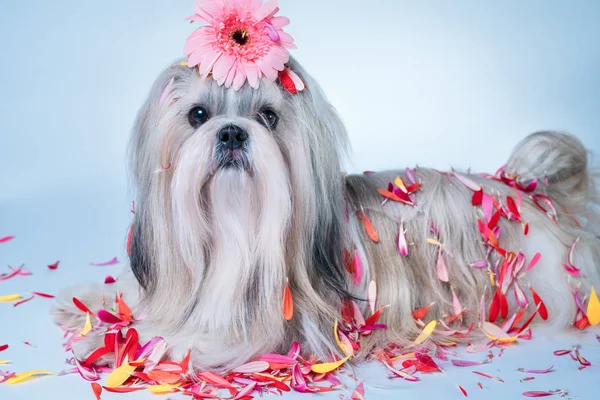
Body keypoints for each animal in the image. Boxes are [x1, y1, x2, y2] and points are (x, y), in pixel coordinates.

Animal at [52, 1, 600, 374]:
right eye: (198, 115)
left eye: (269, 116)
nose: (232, 133)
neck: (235, 229)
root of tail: (524, 190)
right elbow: (138, 295)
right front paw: (87, 305)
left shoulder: (263, 338)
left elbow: (175, 340)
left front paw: (118, 342)